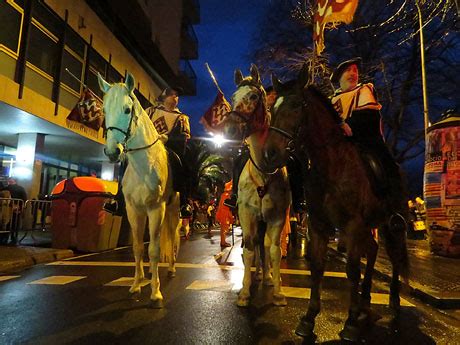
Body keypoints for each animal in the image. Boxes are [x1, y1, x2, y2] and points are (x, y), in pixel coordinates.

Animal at [98, 72, 181, 306]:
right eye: (104, 110)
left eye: (127, 110)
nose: (112, 152)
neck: (144, 165)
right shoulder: (133, 210)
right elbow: (137, 247)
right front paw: (136, 285)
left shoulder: (156, 209)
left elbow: (154, 249)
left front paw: (155, 292)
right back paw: (147, 274)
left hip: (172, 210)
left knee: (172, 236)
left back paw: (170, 268)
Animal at [226, 64, 292, 306]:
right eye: (233, 97)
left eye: (253, 96)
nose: (230, 130)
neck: (264, 173)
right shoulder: (247, 215)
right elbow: (249, 250)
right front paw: (245, 292)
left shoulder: (277, 217)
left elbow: (272, 251)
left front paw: (279, 292)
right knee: (253, 246)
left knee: (263, 247)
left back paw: (267, 277)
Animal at [260, 68, 408, 342]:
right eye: (271, 109)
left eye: (297, 105)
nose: (269, 154)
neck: (332, 165)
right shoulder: (319, 224)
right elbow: (318, 267)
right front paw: (309, 318)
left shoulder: (353, 225)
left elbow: (351, 269)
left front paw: (350, 323)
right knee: (373, 251)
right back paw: (366, 298)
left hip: (390, 225)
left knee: (394, 257)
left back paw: (392, 301)